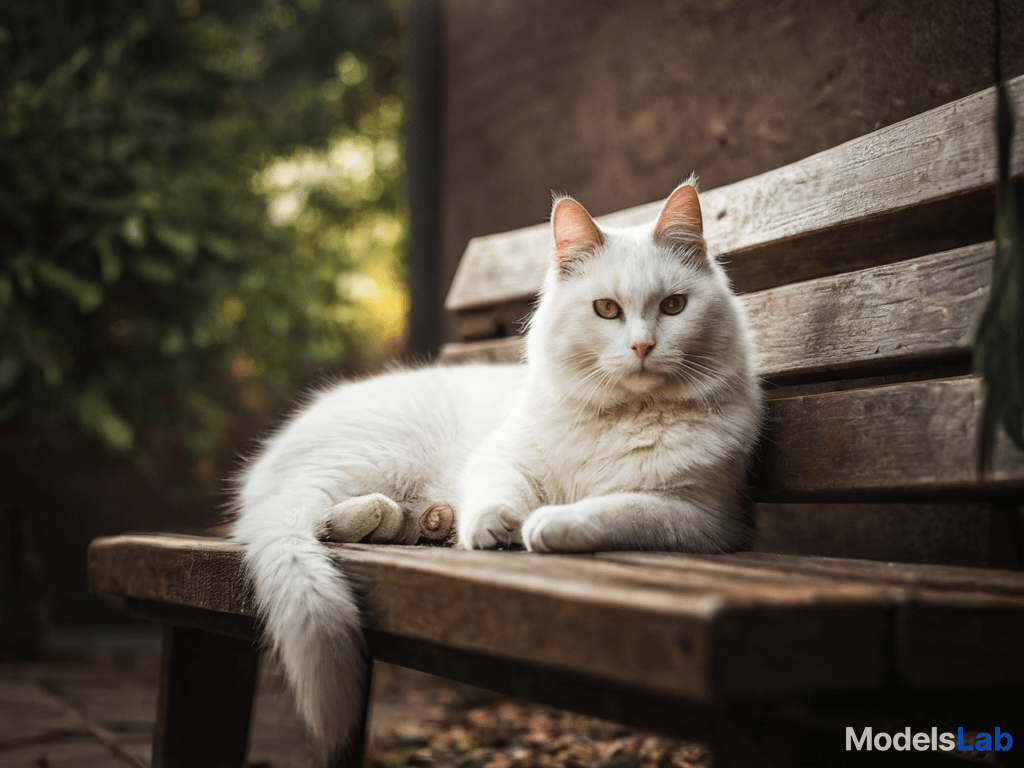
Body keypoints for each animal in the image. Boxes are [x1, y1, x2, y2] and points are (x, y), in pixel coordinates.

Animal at [230, 179, 761, 757]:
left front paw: (548, 525)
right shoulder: (504, 457)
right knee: (294, 515)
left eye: (673, 306)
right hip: (373, 457)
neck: (625, 416)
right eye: (606, 310)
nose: (643, 346)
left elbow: (616, 508)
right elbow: (499, 492)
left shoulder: (699, 517)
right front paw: (496, 528)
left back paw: (411, 523)